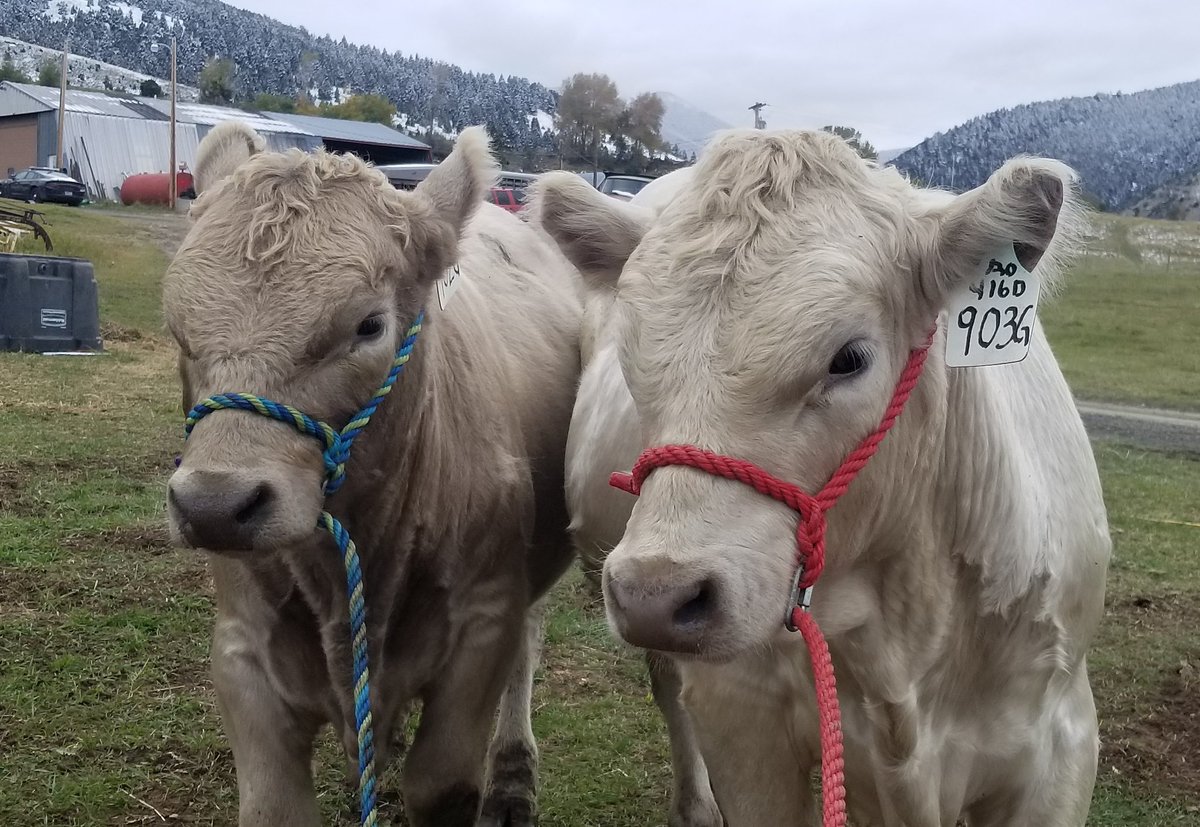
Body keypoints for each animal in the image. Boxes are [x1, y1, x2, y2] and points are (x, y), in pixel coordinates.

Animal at [163, 123, 582, 827]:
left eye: (368, 325)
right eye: (177, 326)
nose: (214, 505)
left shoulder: (485, 621)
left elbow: (441, 784)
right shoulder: (241, 648)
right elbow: (274, 807)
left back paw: (512, 779)